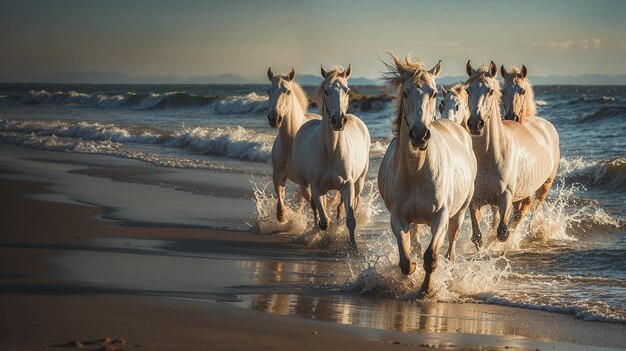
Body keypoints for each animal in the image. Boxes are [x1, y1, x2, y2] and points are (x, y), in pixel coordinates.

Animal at [266, 67, 320, 223]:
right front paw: (282, 216)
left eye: (288, 91)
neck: (291, 142)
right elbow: (280, 195)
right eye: (268, 91)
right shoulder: (278, 175)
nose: (274, 118)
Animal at [290, 64, 368, 250]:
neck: (332, 151)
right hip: (305, 185)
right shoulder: (316, 186)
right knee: (314, 206)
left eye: (347, 90)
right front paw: (323, 234)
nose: (338, 121)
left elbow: (350, 219)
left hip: (359, 182)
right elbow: (324, 219)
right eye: (326, 91)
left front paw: (353, 248)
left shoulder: (347, 185)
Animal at [376, 53, 478, 296]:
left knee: (450, 248)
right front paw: (411, 271)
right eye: (405, 92)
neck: (417, 171)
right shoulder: (398, 217)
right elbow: (406, 259)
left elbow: (431, 257)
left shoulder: (440, 216)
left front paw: (426, 289)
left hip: (460, 212)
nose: (420, 135)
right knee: (414, 242)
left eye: (432, 93)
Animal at [464, 61, 560, 248]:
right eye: (468, 90)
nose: (475, 124)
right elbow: (478, 236)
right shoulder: (476, 201)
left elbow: (503, 232)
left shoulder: (506, 198)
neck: (489, 156)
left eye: (490, 91)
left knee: (532, 210)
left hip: (543, 187)